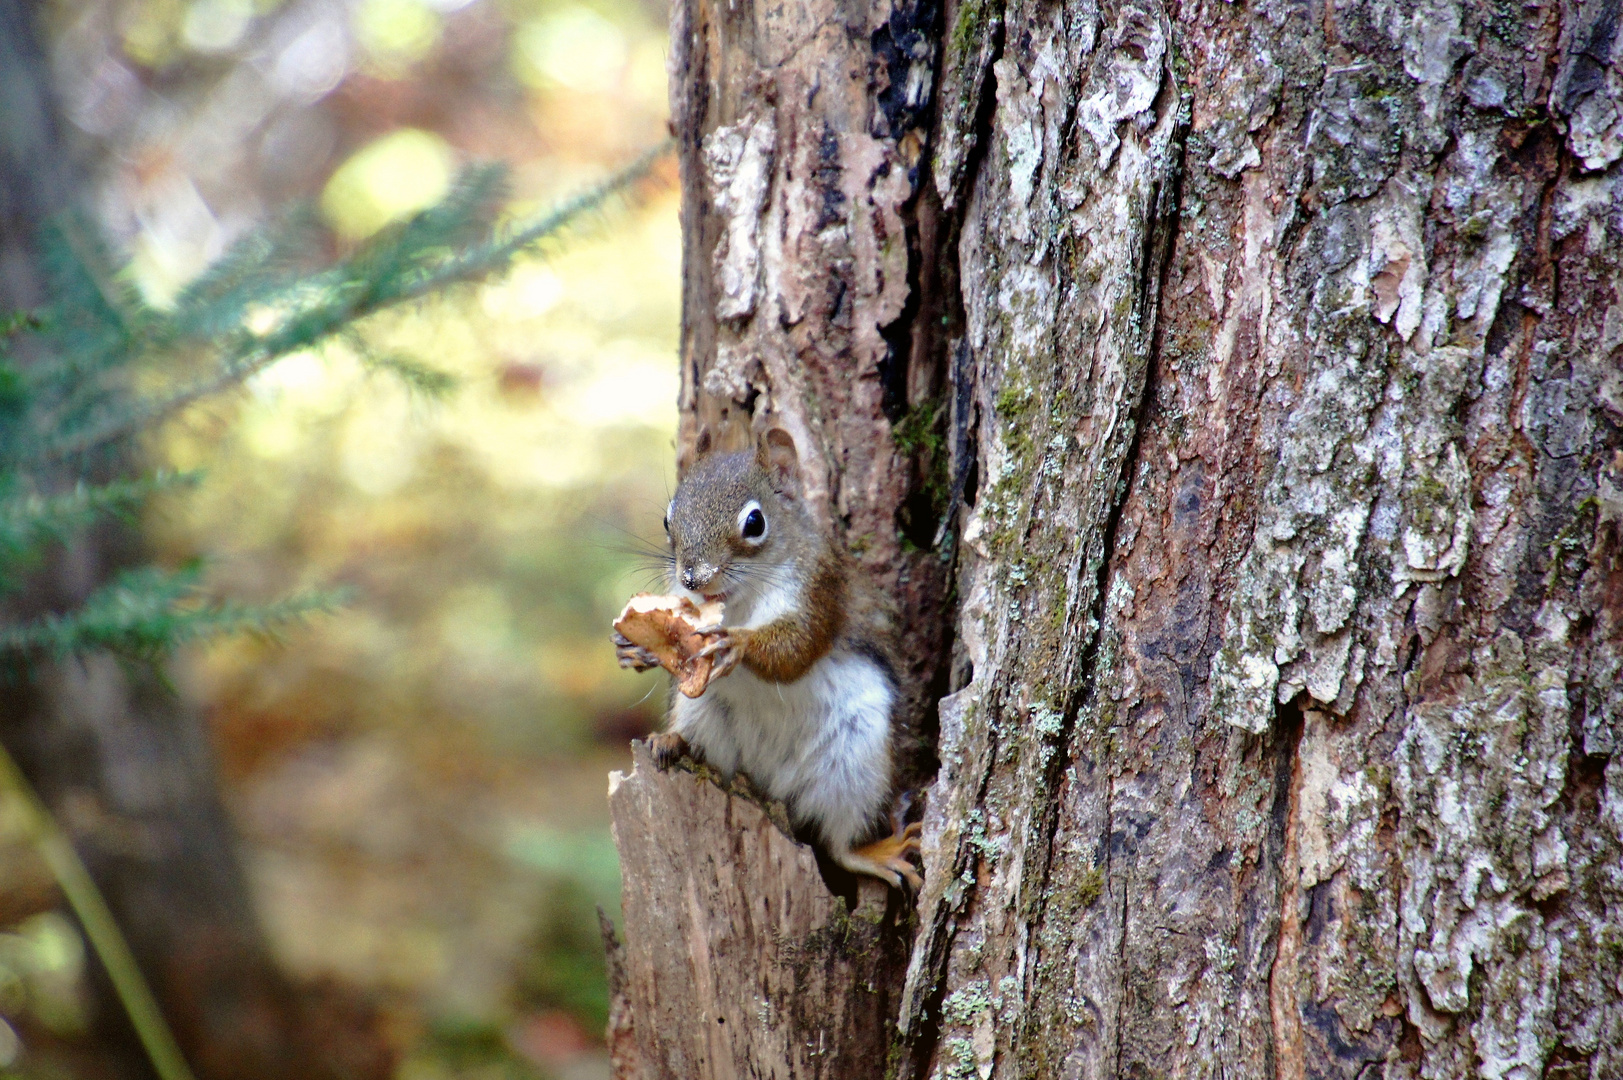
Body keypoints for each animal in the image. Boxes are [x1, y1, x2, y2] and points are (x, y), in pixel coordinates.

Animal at [610, 425, 921, 889]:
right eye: (668, 519)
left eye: (754, 523)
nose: (693, 578)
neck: (738, 599)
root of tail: (775, 785)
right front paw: (634, 647)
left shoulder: (820, 587)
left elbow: (796, 649)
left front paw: (736, 643)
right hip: (703, 716)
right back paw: (671, 740)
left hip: (857, 760)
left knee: (840, 844)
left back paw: (875, 854)